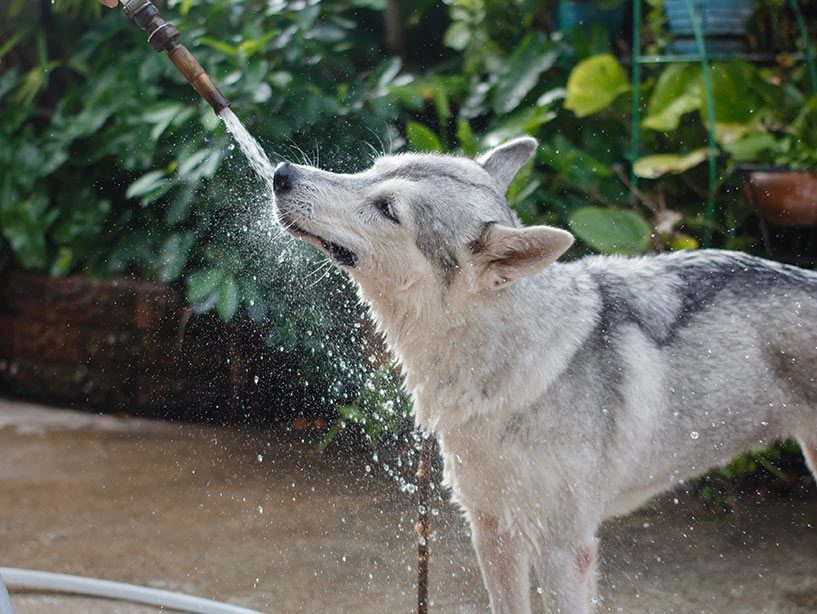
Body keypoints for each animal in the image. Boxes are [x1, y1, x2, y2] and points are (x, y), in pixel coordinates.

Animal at [272, 138, 816, 614]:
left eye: (387, 209)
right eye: (371, 169)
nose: (281, 173)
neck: (496, 373)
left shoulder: (562, 551)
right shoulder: (494, 533)